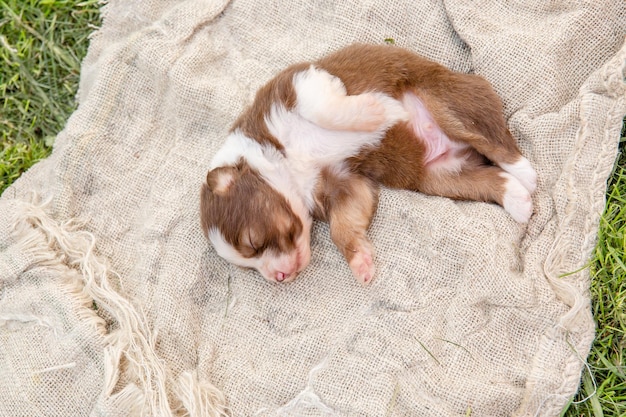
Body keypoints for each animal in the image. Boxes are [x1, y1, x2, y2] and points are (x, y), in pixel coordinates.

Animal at [200, 44, 536, 284]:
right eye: (250, 266)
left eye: (252, 241)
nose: (280, 278)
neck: (288, 164)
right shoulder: (345, 185)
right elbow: (343, 227)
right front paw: (360, 260)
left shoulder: (299, 85)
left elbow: (325, 109)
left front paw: (376, 111)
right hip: (439, 177)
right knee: (488, 178)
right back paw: (518, 200)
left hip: (449, 103)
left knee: (498, 145)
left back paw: (527, 173)